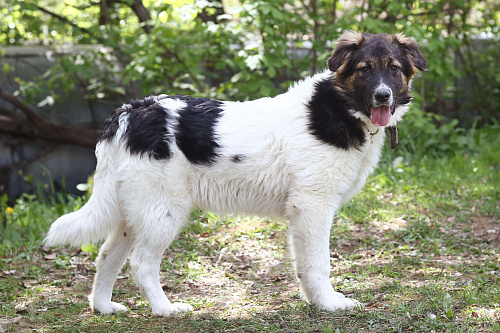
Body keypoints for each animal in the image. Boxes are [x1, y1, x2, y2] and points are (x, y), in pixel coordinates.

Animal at [45, 30, 426, 314]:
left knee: (107, 256)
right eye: (364, 69)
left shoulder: (302, 212)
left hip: (132, 212)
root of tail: (128, 113)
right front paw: (330, 304)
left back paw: (103, 307)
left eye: (394, 68)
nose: (383, 95)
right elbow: (319, 263)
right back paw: (166, 309)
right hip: (162, 211)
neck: (342, 108)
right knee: (141, 264)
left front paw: (315, 302)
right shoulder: (313, 206)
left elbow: (304, 265)